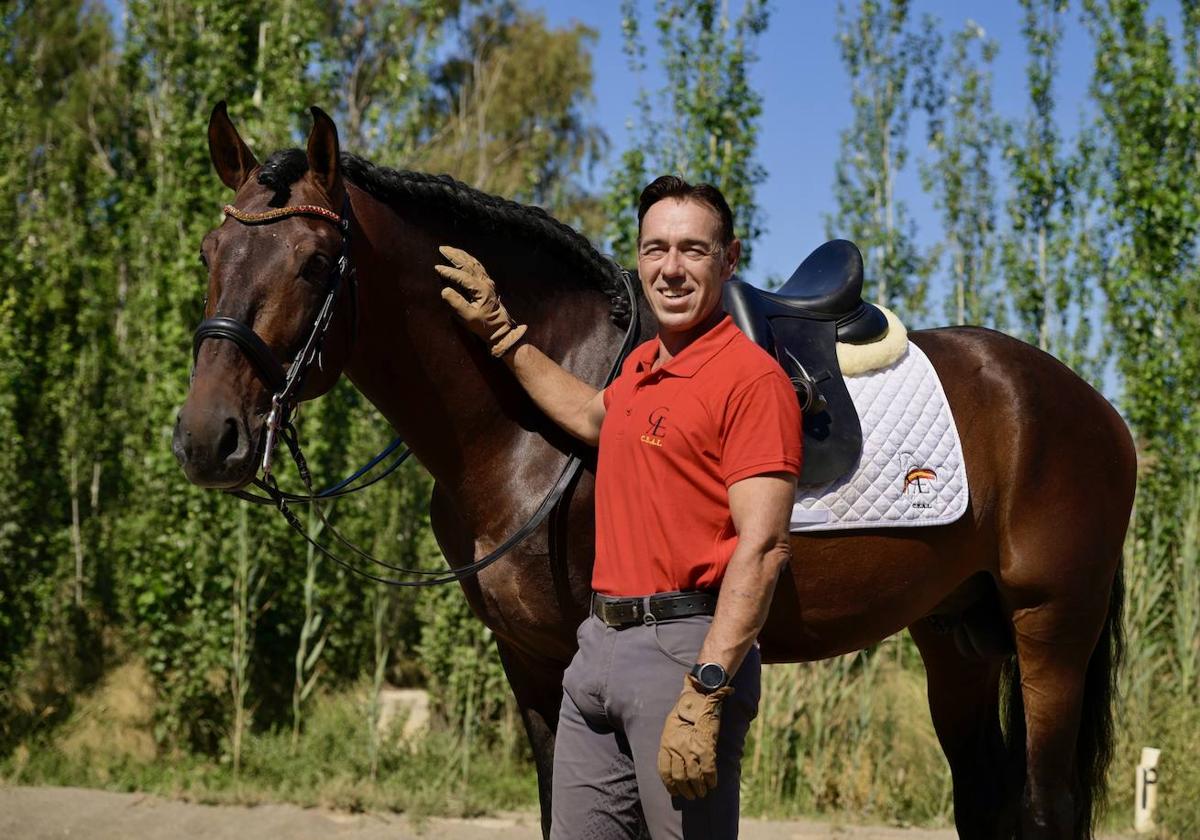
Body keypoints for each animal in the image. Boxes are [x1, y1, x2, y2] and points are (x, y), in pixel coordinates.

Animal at [175, 106, 1132, 840]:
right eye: (208, 253)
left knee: (1045, 809)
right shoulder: (530, 661)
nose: (205, 438)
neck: (528, 429)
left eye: (312, 264)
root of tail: (1092, 407)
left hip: (1051, 628)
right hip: (958, 633)